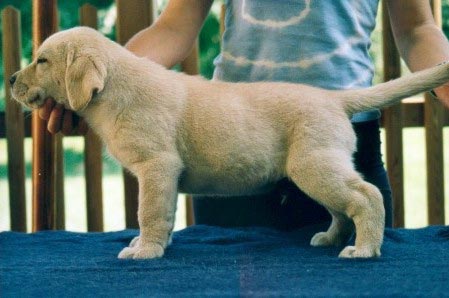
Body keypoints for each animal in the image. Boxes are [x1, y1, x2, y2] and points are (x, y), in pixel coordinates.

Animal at [10, 27, 448, 258]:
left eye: (42, 61)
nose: (11, 79)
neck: (115, 88)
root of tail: (334, 99)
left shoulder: (157, 166)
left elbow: (149, 211)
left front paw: (145, 250)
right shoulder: (164, 175)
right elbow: (163, 213)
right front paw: (153, 243)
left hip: (314, 164)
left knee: (366, 196)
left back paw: (364, 249)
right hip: (317, 167)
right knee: (343, 206)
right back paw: (331, 238)